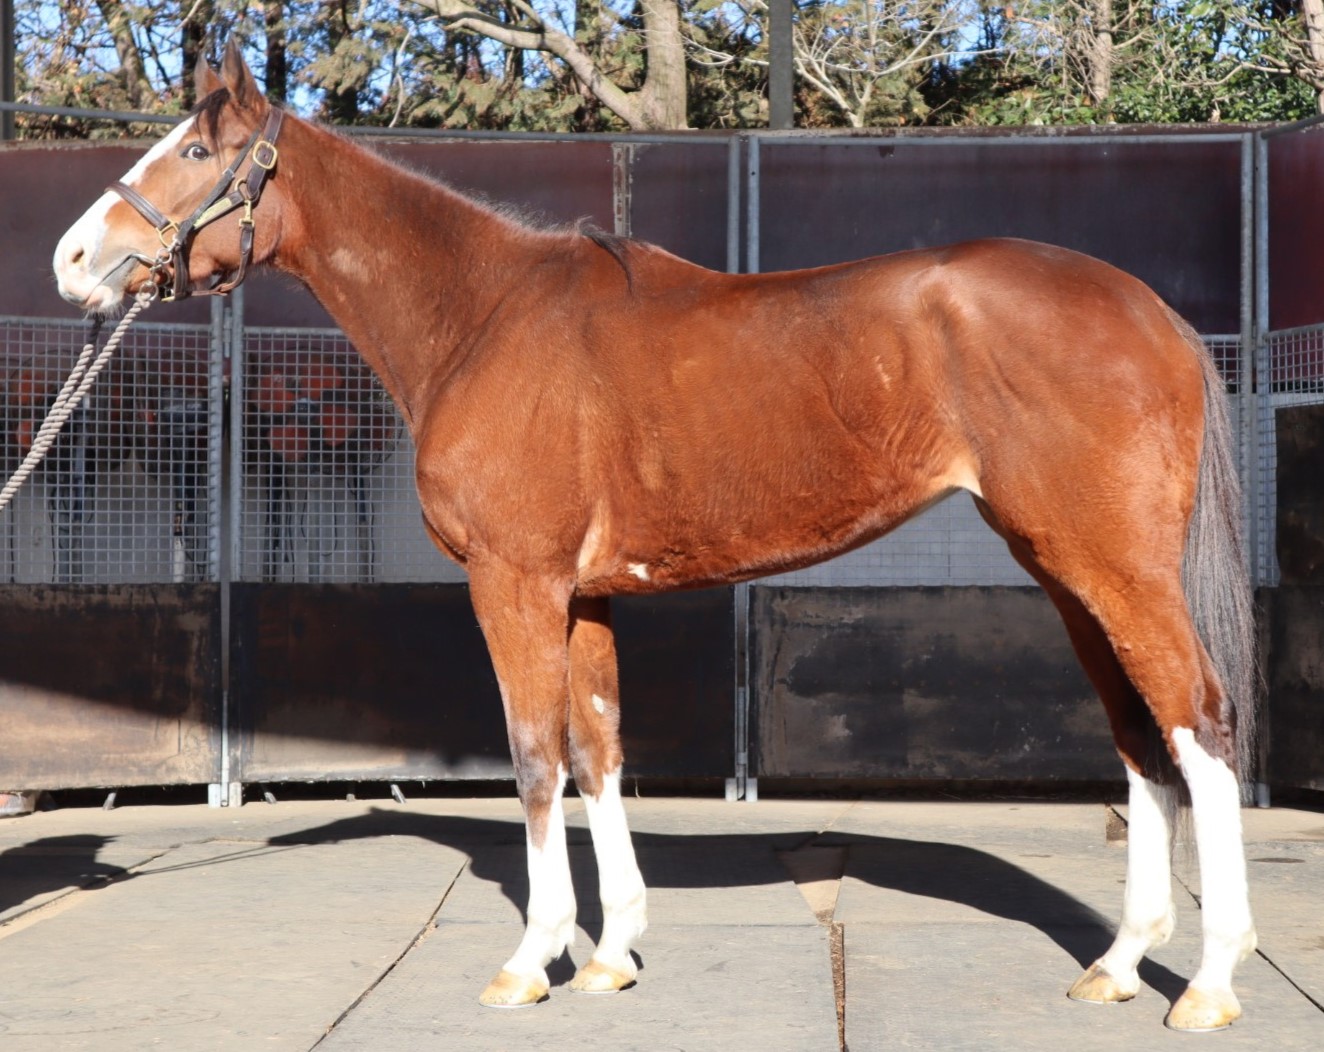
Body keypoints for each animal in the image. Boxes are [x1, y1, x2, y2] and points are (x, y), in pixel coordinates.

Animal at [48, 47, 1249, 1026]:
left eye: (195, 149)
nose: (69, 260)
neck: (483, 318)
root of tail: (1152, 311)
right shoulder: (583, 594)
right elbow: (598, 752)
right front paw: (610, 952)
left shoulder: (516, 583)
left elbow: (534, 757)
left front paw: (530, 961)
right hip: (1067, 572)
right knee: (1142, 738)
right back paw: (1118, 962)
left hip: (1117, 569)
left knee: (1196, 721)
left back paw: (1210, 981)